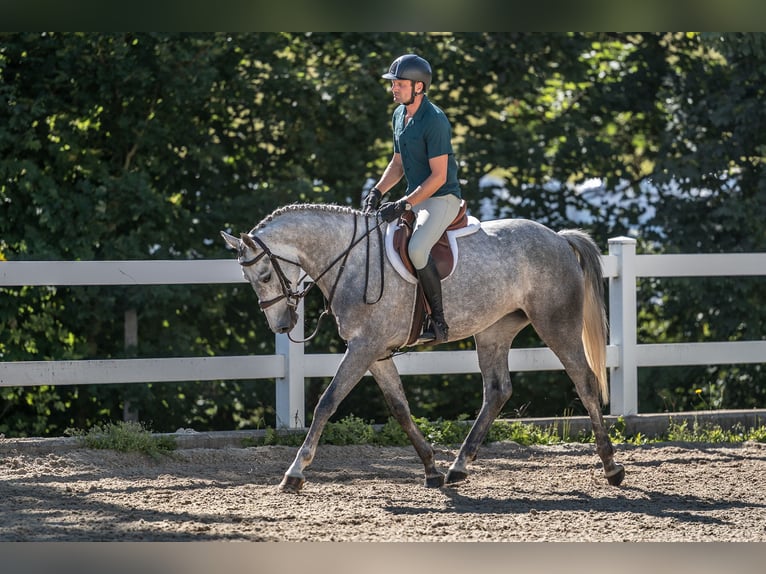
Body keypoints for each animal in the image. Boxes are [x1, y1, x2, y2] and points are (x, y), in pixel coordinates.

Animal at [221, 203, 625, 493]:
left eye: (265, 275)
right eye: (249, 278)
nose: (282, 325)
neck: (350, 260)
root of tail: (558, 237)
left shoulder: (363, 347)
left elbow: (327, 403)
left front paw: (294, 473)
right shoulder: (376, 352)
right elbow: (399, 407)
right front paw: (431, 469)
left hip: (556, 325)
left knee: (585, 382)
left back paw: (611, 468)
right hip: (493, 331)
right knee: (497, 390)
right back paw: (458, 467)